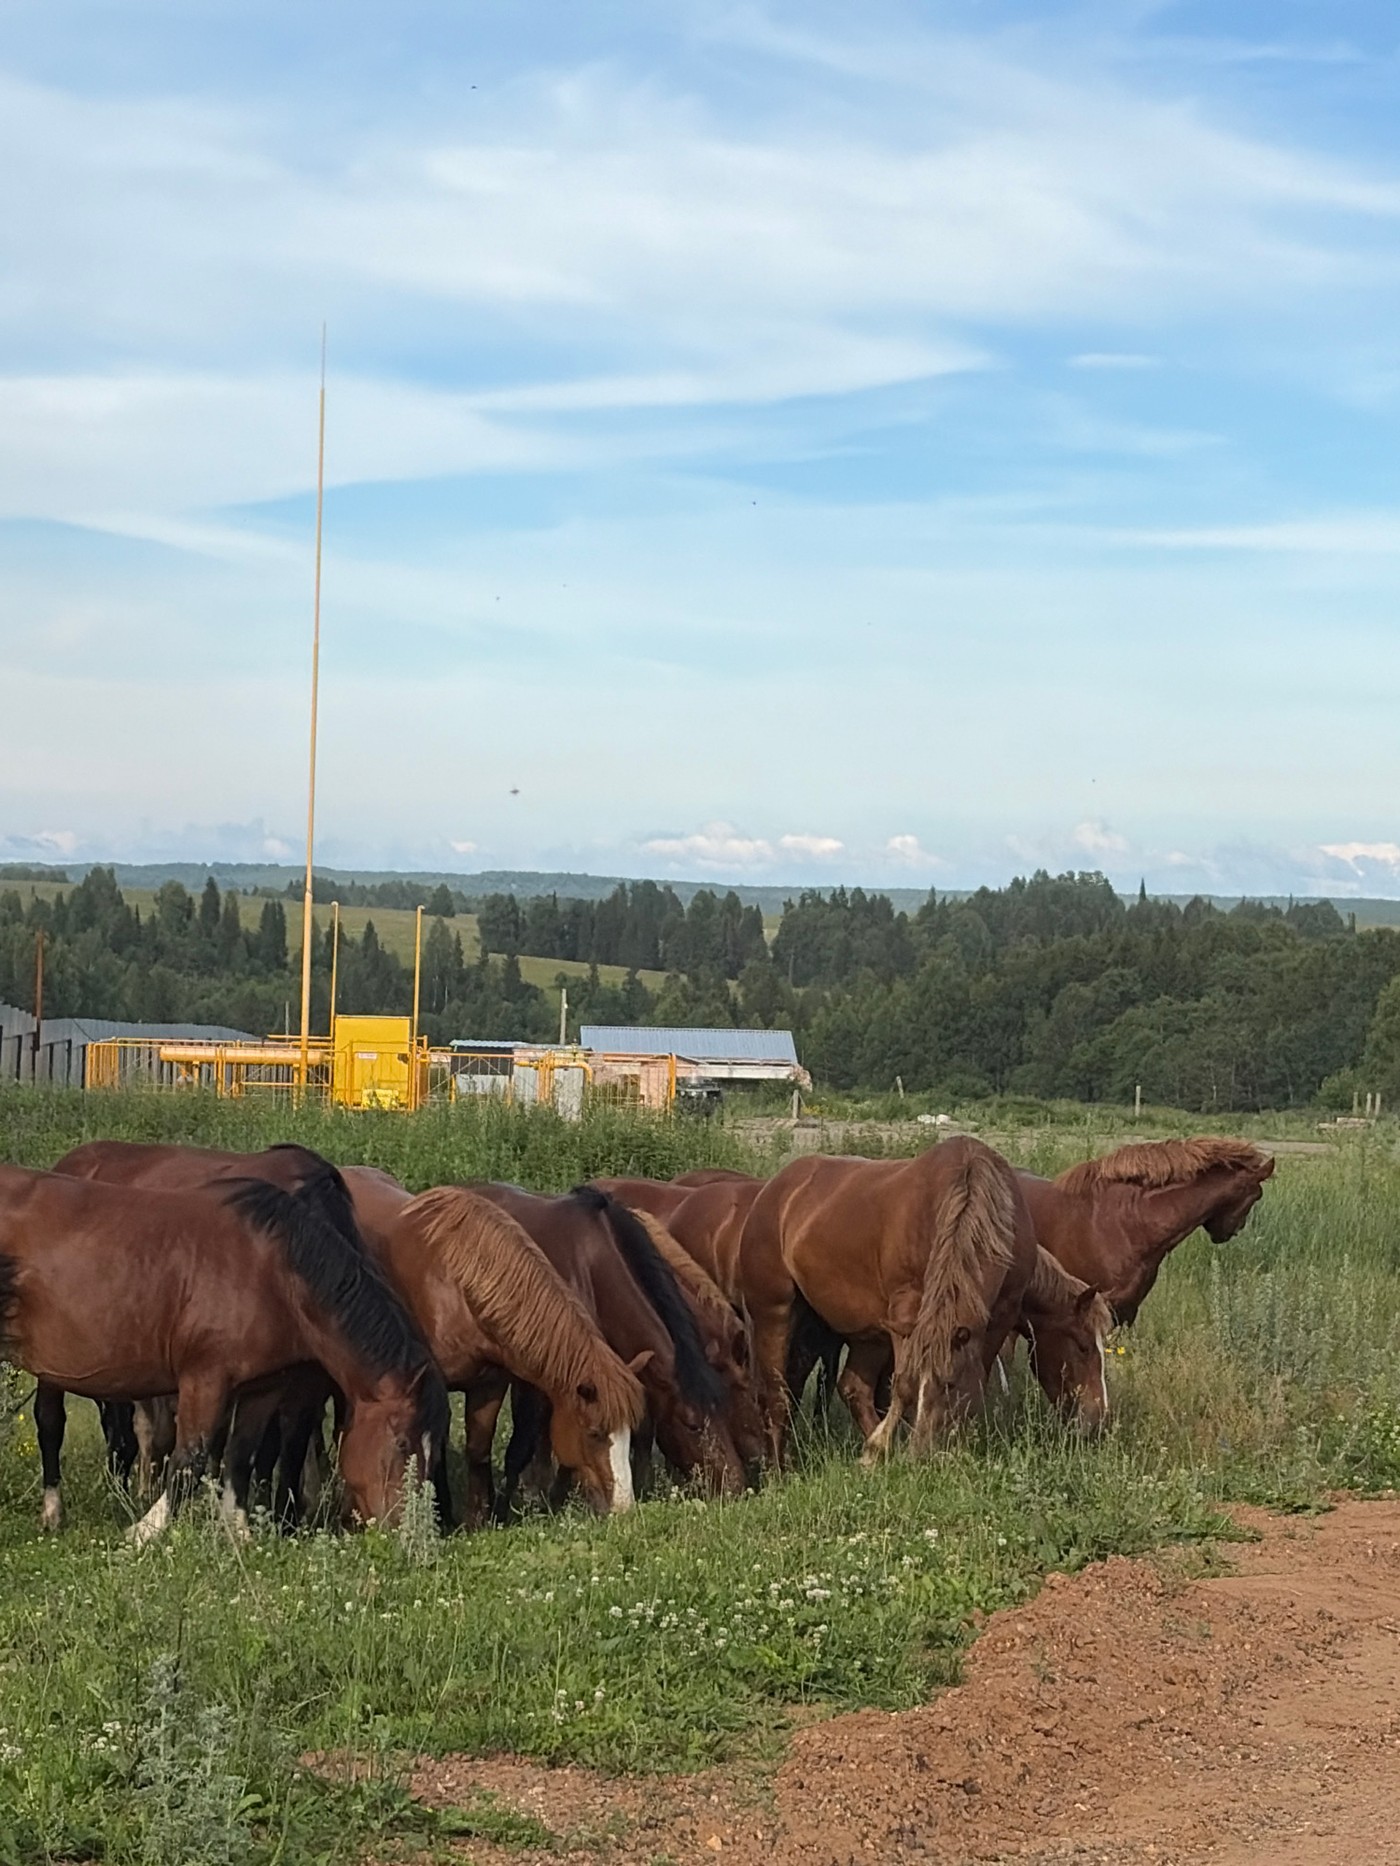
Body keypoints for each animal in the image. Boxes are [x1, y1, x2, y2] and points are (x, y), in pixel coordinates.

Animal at [0, 1164, 447, 1541]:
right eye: (402, 1443)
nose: (415, 1535)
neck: (275, 1273)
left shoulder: (261, 1388)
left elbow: (240, 1458)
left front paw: (240, 1534)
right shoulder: (206, 1379)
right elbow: (190, 1460)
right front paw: (142, 1533)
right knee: (52, 1425)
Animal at [738, 1137, 1035, 1464]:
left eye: (950, 1384)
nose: (921, 1454)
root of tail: (773, 1190)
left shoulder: (1001, 1316)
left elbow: (978, 1379)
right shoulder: (905, 1313)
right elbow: (902, 1385)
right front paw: (880, 1446)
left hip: (851, 1331)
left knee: (848, 1387)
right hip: (776, 1314)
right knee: (777, 1392)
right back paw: (781, 1466)